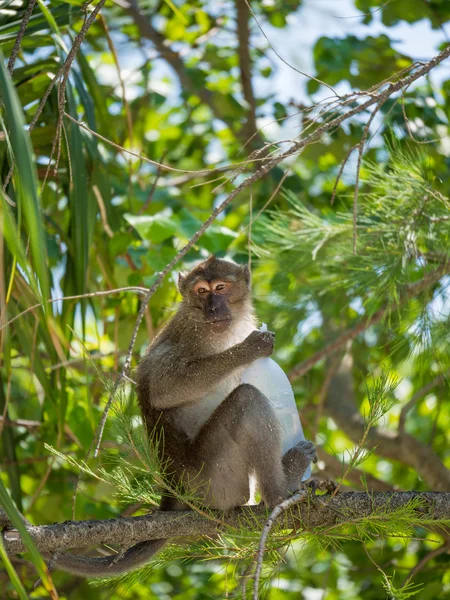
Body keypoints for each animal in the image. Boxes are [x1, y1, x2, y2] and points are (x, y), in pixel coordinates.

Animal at [48, 255, 316, 580]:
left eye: (221, 288)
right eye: (202, 291)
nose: (213, 308)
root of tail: (173, 489)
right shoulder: (190, 336)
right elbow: (164, 389)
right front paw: (249, 349)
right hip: (213, 481)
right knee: (247, 400)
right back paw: (281, 491)